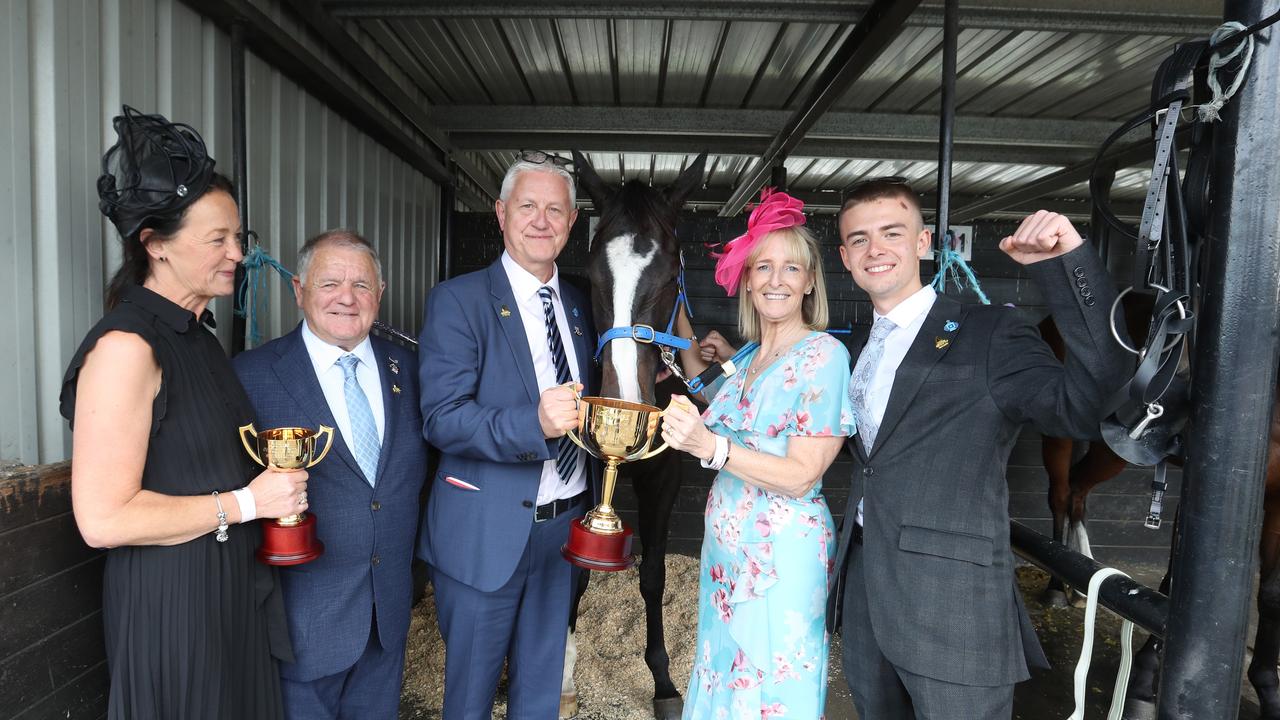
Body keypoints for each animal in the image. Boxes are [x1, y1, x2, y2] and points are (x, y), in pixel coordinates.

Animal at [558, 148, 711, 712]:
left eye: (670, 275)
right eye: (593, 273)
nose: (623, 396)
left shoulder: (663, 477)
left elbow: (652, 576)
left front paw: (664, 681)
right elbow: (576, 570)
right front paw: (561, 672)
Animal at [1039, 294, 1280, 712]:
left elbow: (1271, 593)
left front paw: (1268, 687)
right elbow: (1172, 581)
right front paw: (1144, 677)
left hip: (1110, 452)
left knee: (1078, 491)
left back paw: (1081, 577)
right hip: (1061, 436)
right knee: (1061, 494)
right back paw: (1057, 585)